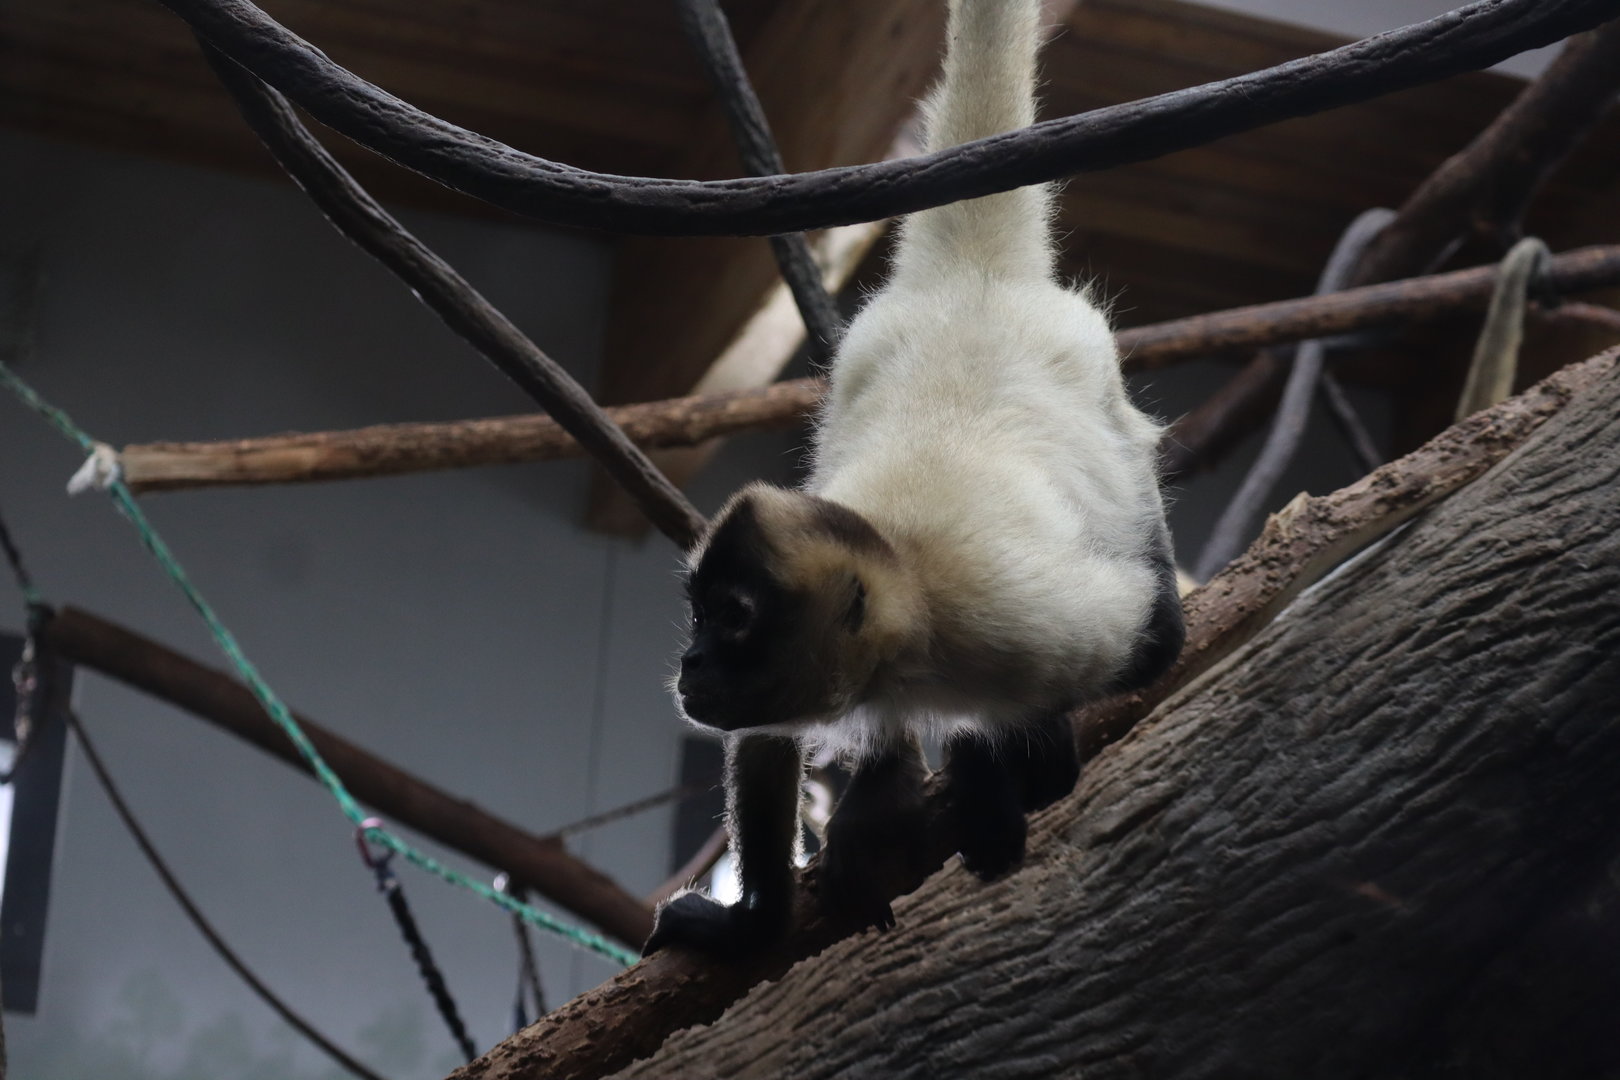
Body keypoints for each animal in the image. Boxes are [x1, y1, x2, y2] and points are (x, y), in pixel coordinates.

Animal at [644, 0, 1184, 958]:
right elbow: (763, 741)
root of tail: (973, 281)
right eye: (701, 615)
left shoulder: (1008, 622)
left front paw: (993, 767)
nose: (692, 660)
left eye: (732, 619)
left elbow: (1157, 638)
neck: (904, 572)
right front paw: (757, 924)